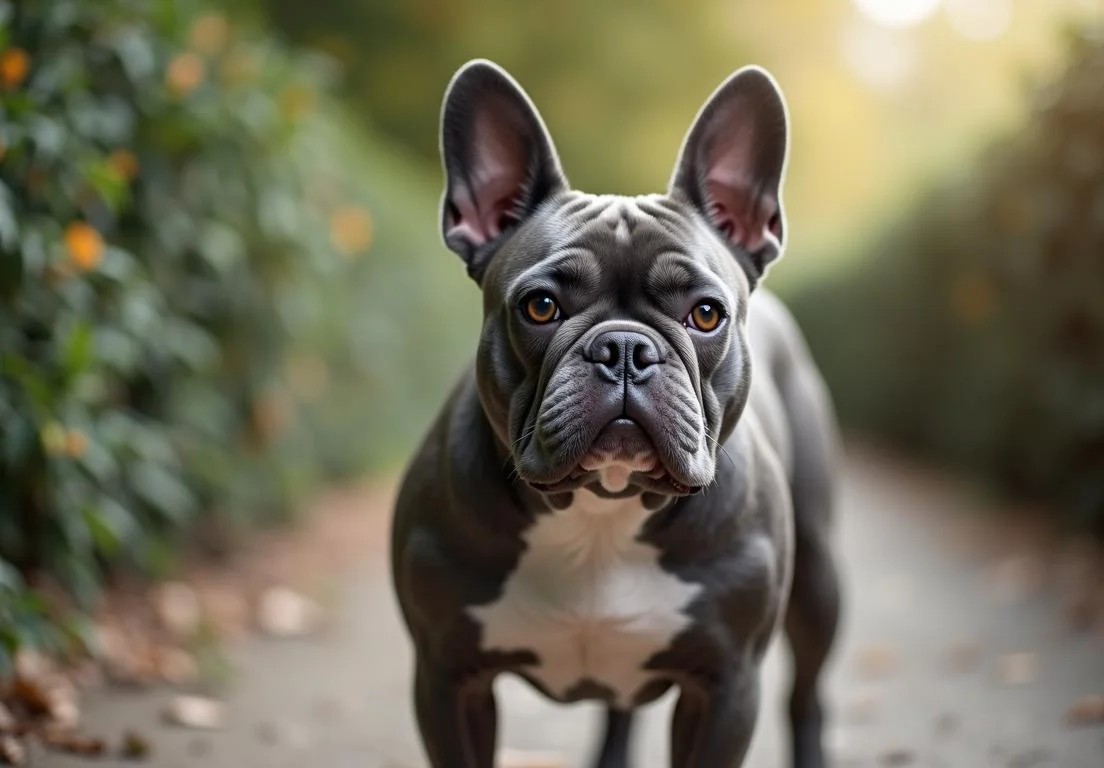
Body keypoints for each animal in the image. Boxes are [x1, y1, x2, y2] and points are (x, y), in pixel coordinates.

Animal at [393, 61, 839, 768]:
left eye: (705, 314)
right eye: (540, 307)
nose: (625, 347)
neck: (602, 512)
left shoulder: (727, 687)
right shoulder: (446, 678)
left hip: (819, 578)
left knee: (807, 693)